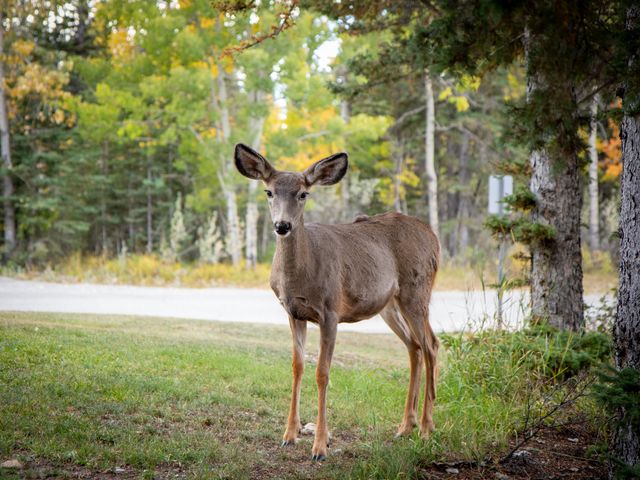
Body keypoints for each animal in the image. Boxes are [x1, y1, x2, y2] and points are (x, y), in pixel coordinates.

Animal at [235, 142, 440, 462]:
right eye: (269, 192)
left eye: (303, 194)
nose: (282, 225)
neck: (300, 275)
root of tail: (433, 236)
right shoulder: (293, 313)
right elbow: (297, 366)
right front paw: (289, 435)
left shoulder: (330, 311)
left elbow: (322, 373)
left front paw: (320, 446)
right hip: (389, 305)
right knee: (414, 346)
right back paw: (405, 427)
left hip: (416, 291)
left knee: (431, 345)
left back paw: (427, 428)